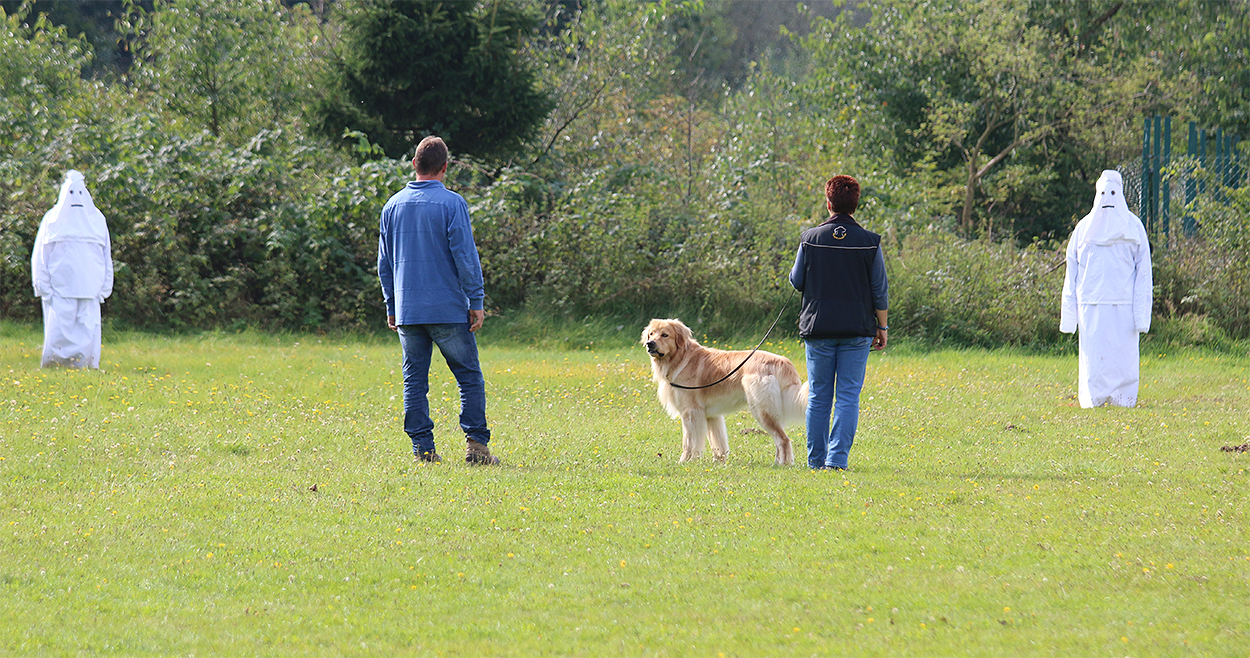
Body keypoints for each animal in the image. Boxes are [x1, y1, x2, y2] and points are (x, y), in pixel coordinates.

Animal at [642, 318, 808, 465]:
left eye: (665, 335)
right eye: (651, 334)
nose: (650, 344)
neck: (680, 358)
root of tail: (782, 361)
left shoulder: (691, 412)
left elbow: (689, 442)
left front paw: (686, 461)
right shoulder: (711, 415)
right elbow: (717, 442)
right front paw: (718, 461)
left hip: (762, 410)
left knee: (783, 439)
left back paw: (782, 464)